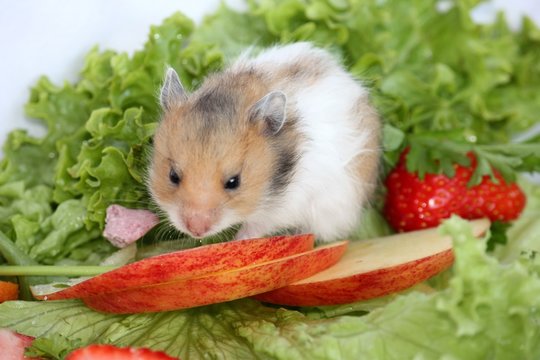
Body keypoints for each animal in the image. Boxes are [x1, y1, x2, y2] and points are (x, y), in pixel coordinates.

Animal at [150, 41, 382, 242]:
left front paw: (238, 240)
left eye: (234, 182)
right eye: (173, 176)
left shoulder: (285, 208)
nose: (196, 231)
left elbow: (256, 225)